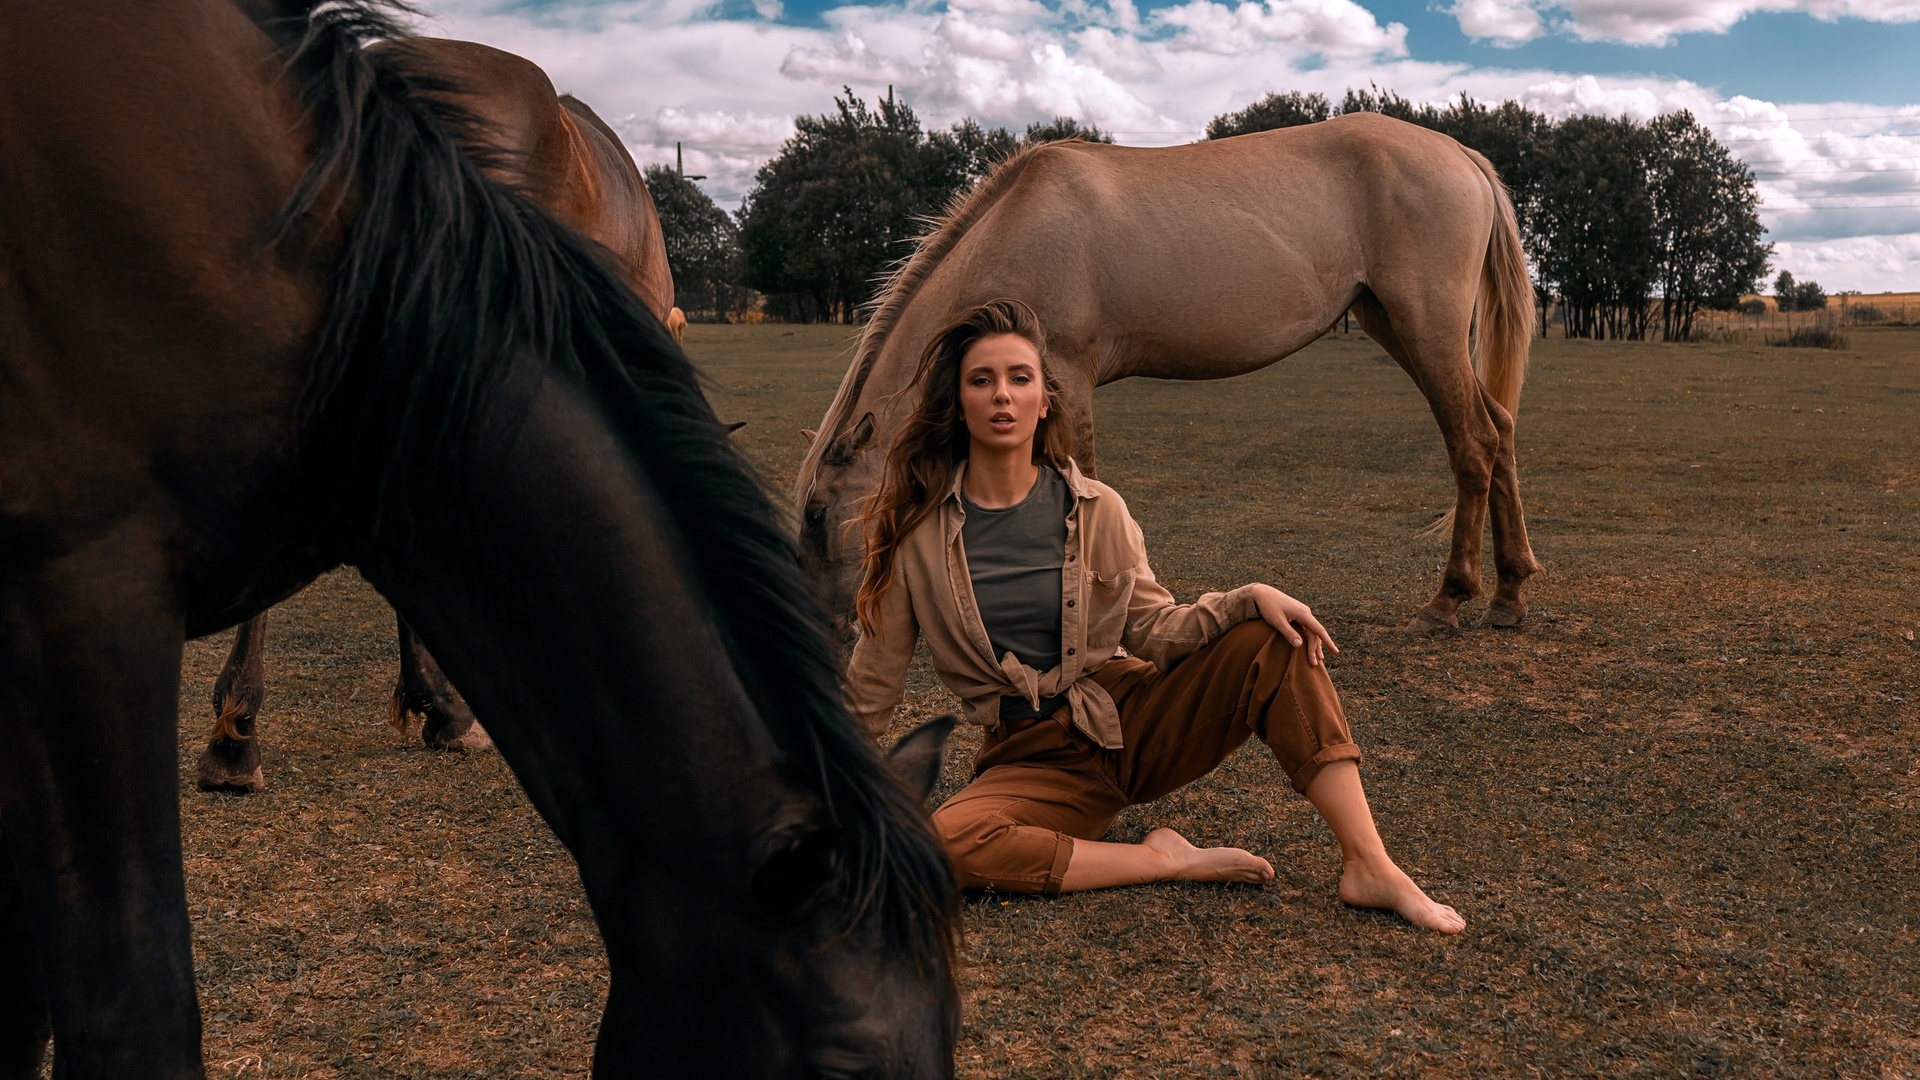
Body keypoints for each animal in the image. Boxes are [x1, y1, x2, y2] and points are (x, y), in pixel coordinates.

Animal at [798, 111, 1543, 630]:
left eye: (816, 514)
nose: (830, 628)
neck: (1023, 230)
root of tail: (1460, 154)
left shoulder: (1064, 378)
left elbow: (1080, 486)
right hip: (1391, 321)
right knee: (1502, 430)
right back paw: (1509, 594)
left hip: (1428, 327)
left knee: (1474, 442)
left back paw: (1449, 601)